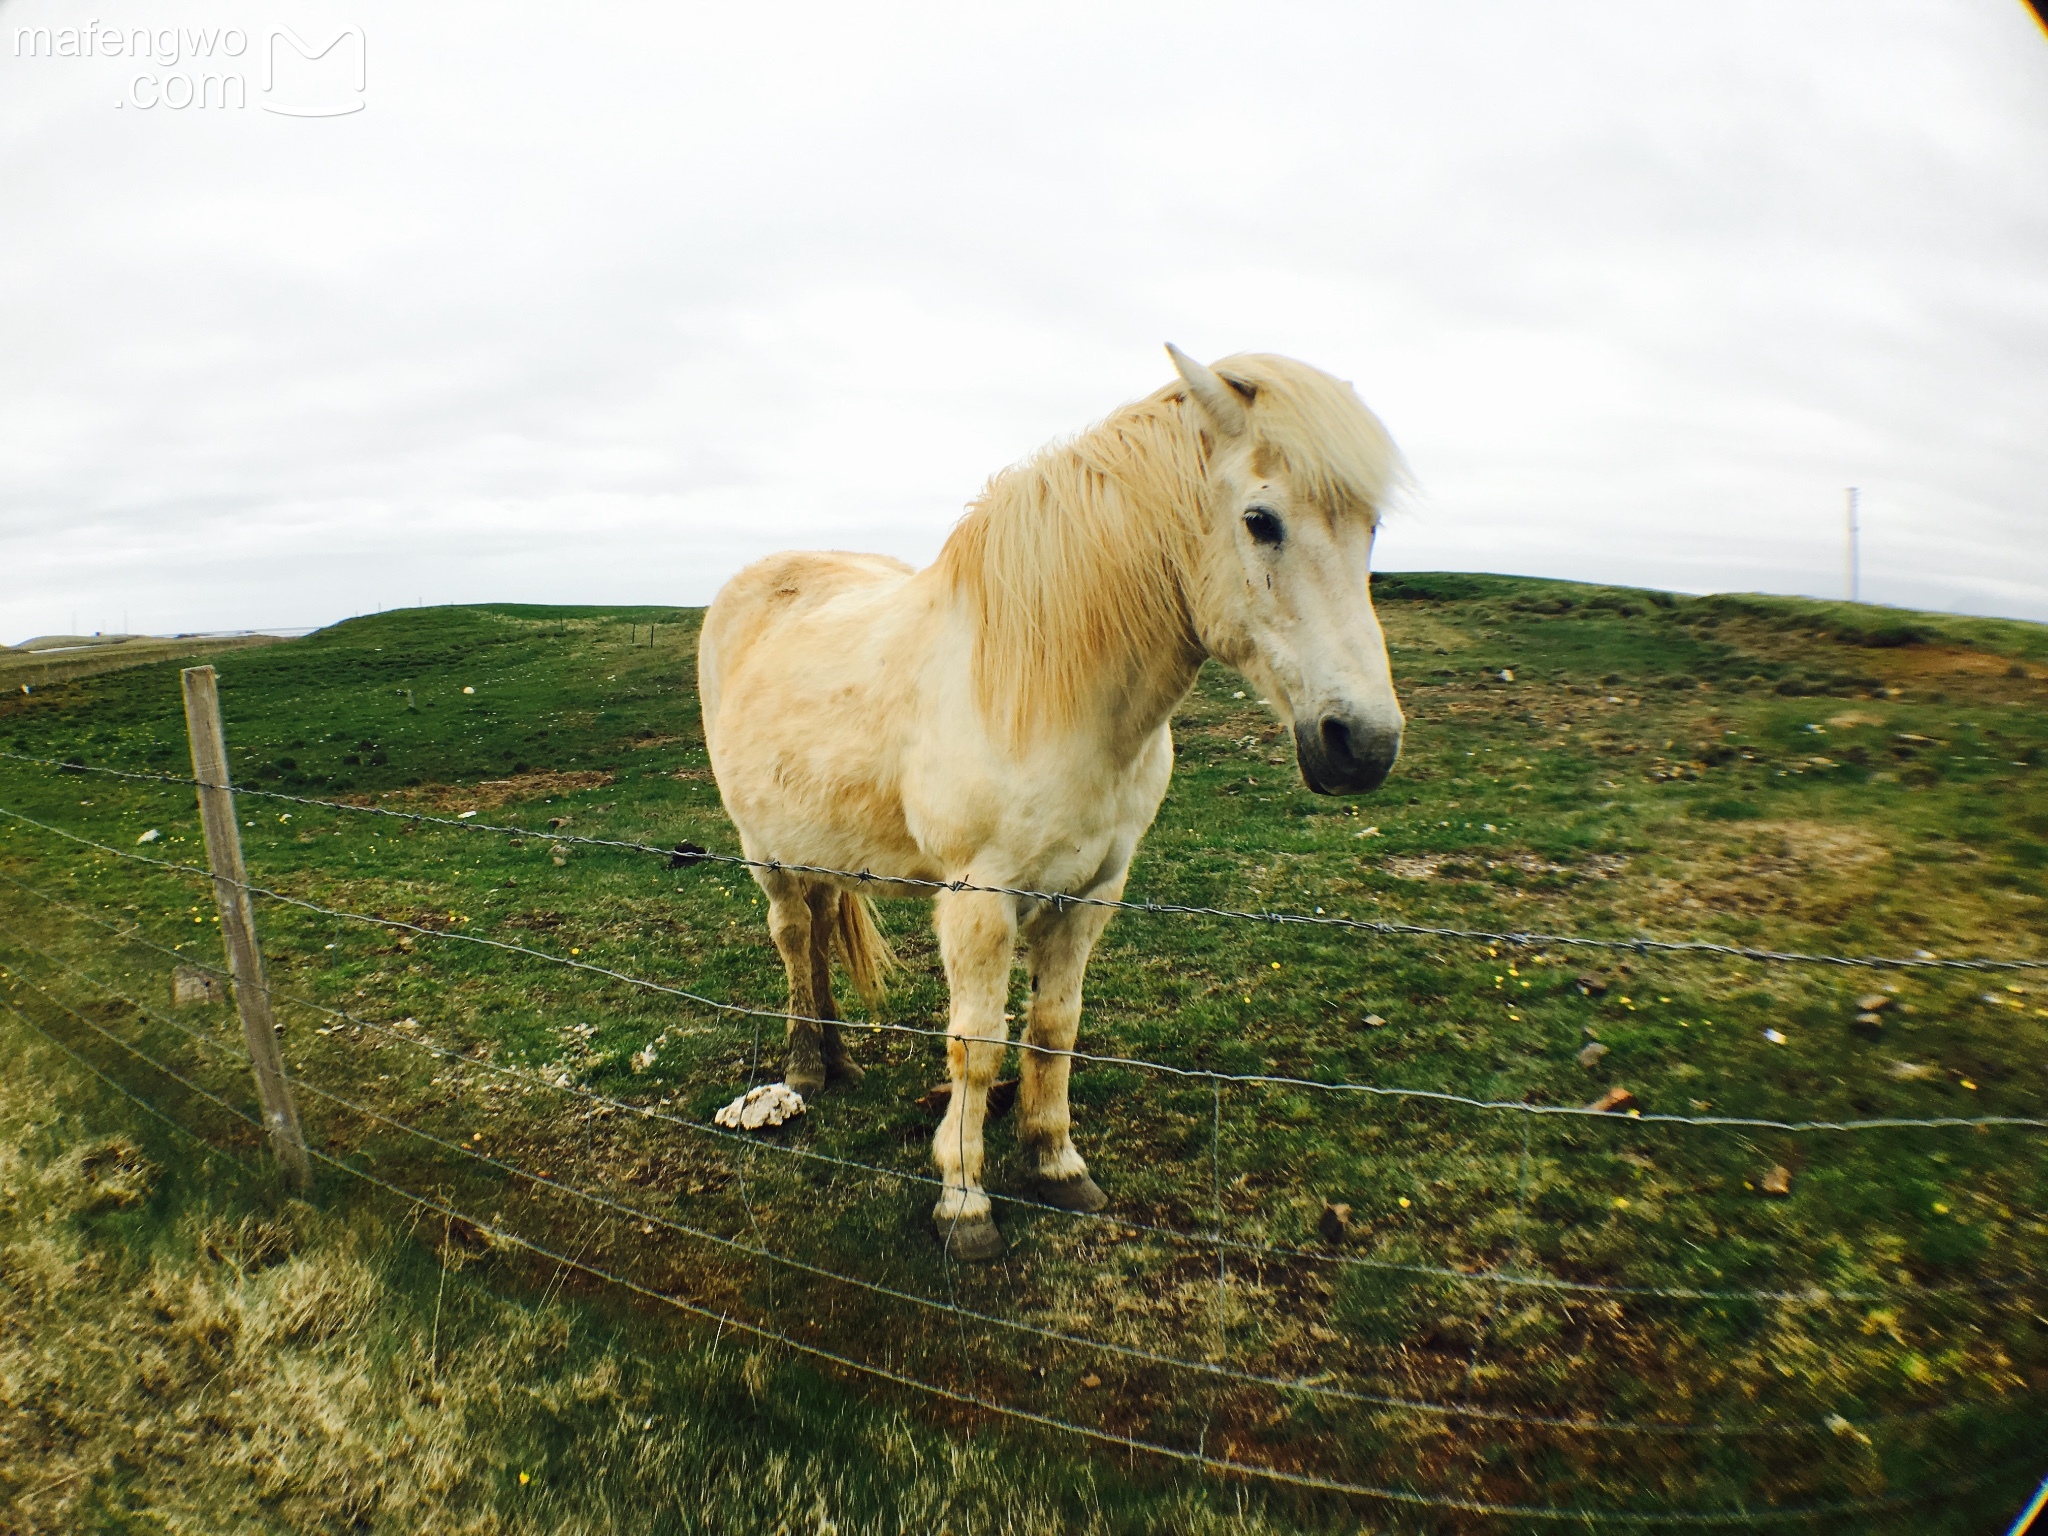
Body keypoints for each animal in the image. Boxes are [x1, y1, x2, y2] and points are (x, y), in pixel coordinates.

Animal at [704, 348, 1409, 1261]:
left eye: (1370, 527)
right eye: (1261, 520)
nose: (1363, 745)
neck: (1052, 689)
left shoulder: (1092, 893)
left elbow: (1054, 1027)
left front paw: (1056, 1162)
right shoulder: (979, 899)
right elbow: (977, 1044)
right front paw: (964, 1203)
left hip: (821, 840)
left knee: (822, 930)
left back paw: (837, 1059)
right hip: (762, 847)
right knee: (794, 936)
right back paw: (801, 1067)